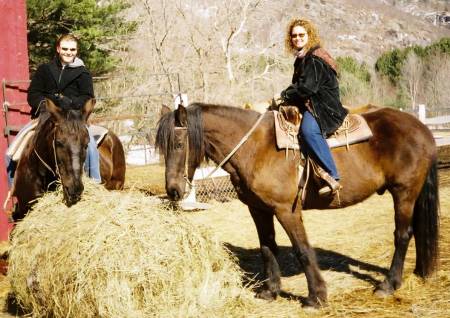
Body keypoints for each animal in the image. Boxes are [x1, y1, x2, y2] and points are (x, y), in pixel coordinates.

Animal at [156, 103, 440, 308]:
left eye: (178, 144)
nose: (173, 190)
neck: (256, 148)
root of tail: (421, 128)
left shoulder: (287, 210)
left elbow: (302, 250)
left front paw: (316, 297)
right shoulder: (258, 210)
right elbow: (267, 248)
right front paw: (270, 291)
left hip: (403, 192)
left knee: (402, 235)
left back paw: (389, 284)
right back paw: (417, 271)